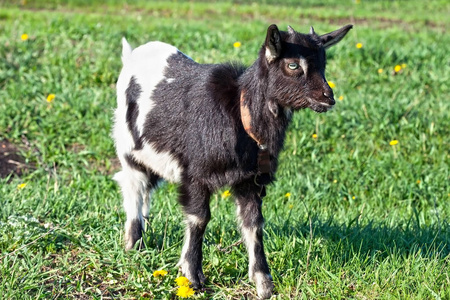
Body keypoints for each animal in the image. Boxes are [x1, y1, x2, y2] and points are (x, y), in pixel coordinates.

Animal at [111, 23, 352, 298]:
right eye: (293, 65)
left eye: (323, 63)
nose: (327, 98)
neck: (241, 114)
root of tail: (132, 55)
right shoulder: (195, 175)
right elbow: (199, 219)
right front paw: (192, 276)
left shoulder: (250, 181)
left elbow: (253, 225)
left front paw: (264, 283)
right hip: (128, 146)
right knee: (133, 185)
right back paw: (134, 242)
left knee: (147, 189)